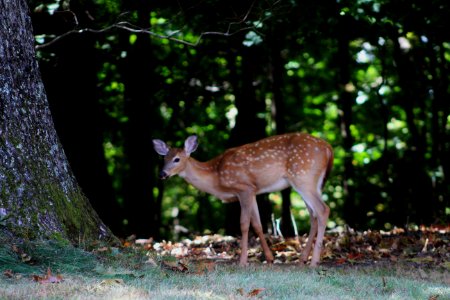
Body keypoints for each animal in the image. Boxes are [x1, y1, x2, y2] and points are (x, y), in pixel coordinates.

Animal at [155, 132, 334, 266]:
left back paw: (314, 262)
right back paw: (303, 259)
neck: (216, 176)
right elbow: (258, 224)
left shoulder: (244, 188)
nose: (162, 174)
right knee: (313, 216)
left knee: (323, 210)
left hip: (303, 177)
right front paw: (270, 258)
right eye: (164, 159)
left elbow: (244, 224)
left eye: (177, 159)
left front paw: (242, 261)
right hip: (311, 183)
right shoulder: (254, 191)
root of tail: (328, 148)